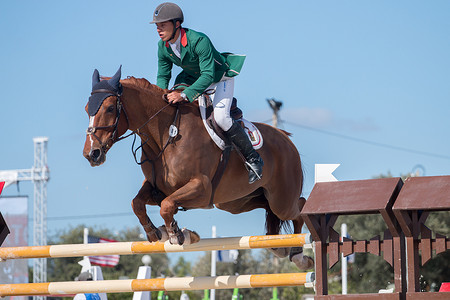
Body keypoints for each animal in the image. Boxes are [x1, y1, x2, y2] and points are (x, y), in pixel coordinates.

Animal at [81, 66, 312, 270]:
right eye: (86, 110)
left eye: (110, 108)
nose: (92, 154)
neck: (166, 134)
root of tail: (286, 139)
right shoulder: (157, 188)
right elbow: (138, 203)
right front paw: (157, 232)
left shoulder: (201, 189)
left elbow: (166, 206)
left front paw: (177, 234)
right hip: (236, 202)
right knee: (269, 210)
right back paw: (278, 246)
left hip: (281, 200)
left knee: (299, 208)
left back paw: (299, 256)